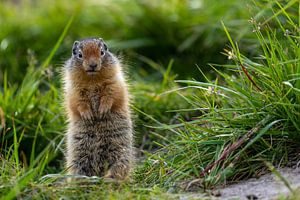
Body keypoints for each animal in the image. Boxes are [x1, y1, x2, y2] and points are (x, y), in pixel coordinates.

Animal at [63, 37, 132, 180]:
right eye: (79, 54)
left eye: (102, 52)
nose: (93, 65)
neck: (92, 80)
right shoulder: (74, 89)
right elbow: (77, 102)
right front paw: (88, 115)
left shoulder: (114, 82)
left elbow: (112, 95)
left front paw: (102, 110)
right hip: (78, 157)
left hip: (120, 153)